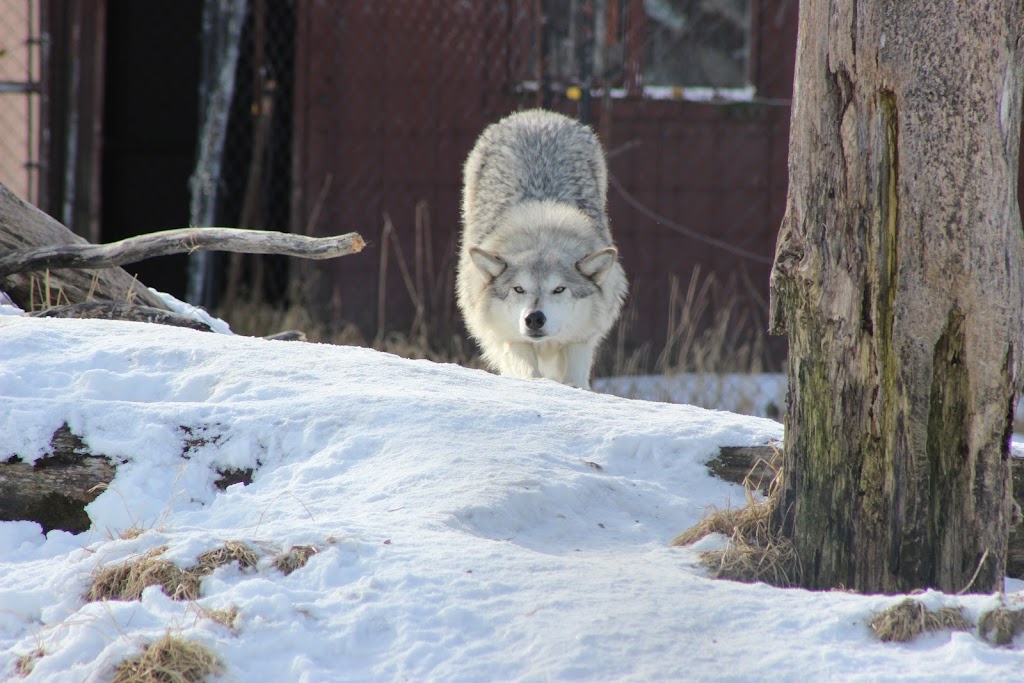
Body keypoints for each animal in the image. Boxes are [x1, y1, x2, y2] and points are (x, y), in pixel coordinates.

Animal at [458, 109, 630, 387]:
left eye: (559, 289)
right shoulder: (511, 341)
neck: (542, 235)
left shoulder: (580, 341)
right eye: (519, 289)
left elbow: (575, 381)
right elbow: (529, 373)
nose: (534, 318)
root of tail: (536, 115)